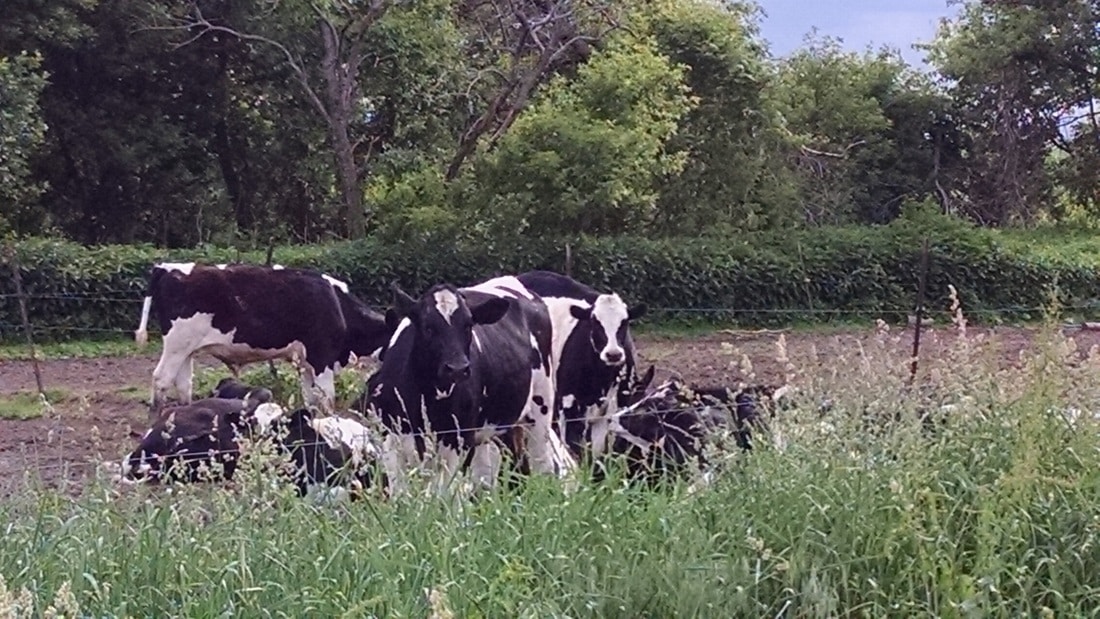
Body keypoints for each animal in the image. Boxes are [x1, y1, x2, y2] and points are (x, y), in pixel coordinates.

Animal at [365, 275, 576, 494]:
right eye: (428, 327)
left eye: (468, 325)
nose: (458, 368)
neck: (427, 398)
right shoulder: (390, 441)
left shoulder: (460, 441)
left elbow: (444, 494)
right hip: (502, 425)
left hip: (540, 411)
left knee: (543, 465)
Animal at [512, 270, 646, 459]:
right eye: (594, 322)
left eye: (625, 322)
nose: (613, 354)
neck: (601, 379)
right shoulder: (569, 407)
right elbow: (573, 448)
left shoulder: (610, 412)